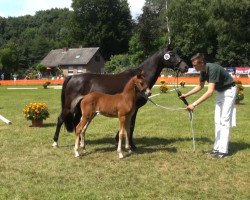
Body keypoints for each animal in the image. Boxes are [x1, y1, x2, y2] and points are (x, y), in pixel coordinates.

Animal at [52, 46, 188, 148]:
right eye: (172, 54)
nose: (185, 67)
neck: (138, 80)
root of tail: (72, 77)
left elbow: (128, 125)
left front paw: (118, 140)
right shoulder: (134, 108)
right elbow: (131, 126)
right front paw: (131, 145)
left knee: (77, 123)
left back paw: (80, 143)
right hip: (69, 107)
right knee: (60, 119)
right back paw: (55, 142)